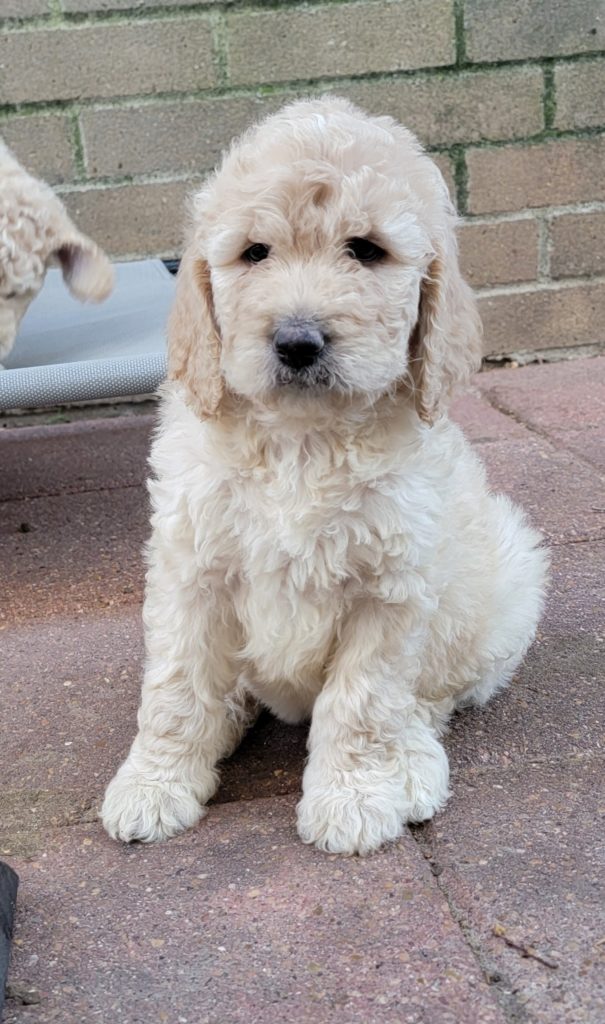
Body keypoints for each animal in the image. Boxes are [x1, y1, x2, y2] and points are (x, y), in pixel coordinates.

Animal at [100, 97, 548, 856]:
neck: (302, 440)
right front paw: (154, 784)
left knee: (430, 699)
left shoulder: (389, 589)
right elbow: (176, 690)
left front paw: (354, 799)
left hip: (504, 582)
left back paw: (411, 763)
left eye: (365, 249)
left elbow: (363, 701)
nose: (297, 341)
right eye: (254, 252)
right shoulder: (191, 569)